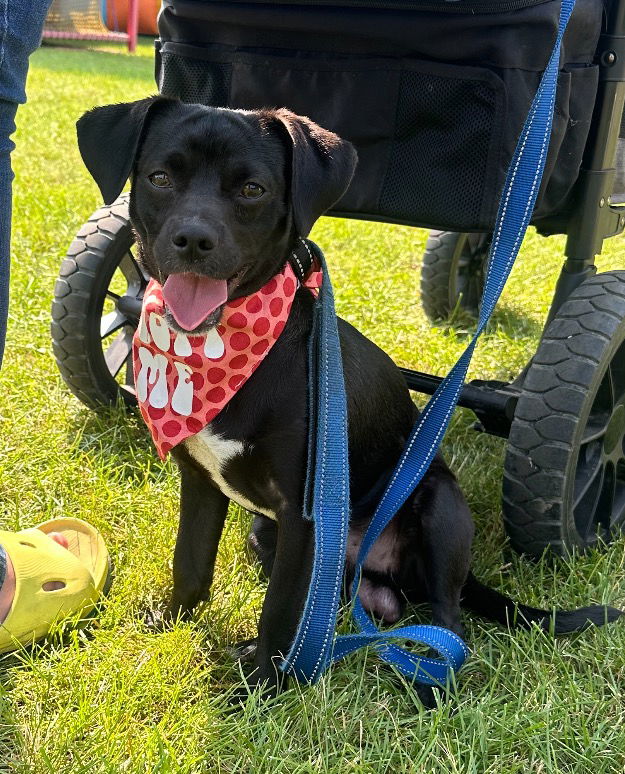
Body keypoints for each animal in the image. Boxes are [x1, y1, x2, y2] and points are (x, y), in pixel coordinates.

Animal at [75, 97, 620, 704]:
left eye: (252, 189)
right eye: (160, 178)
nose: (193, 241)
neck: (228, 351)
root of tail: (370, 566)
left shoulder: (304, 515)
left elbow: (278, 612)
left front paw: (261, 691)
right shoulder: (202, 483)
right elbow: (191, 564)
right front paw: (171, 626)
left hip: (439, 507)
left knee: (446, 618)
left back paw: (429, 683)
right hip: (271, 538)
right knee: (342, 608)